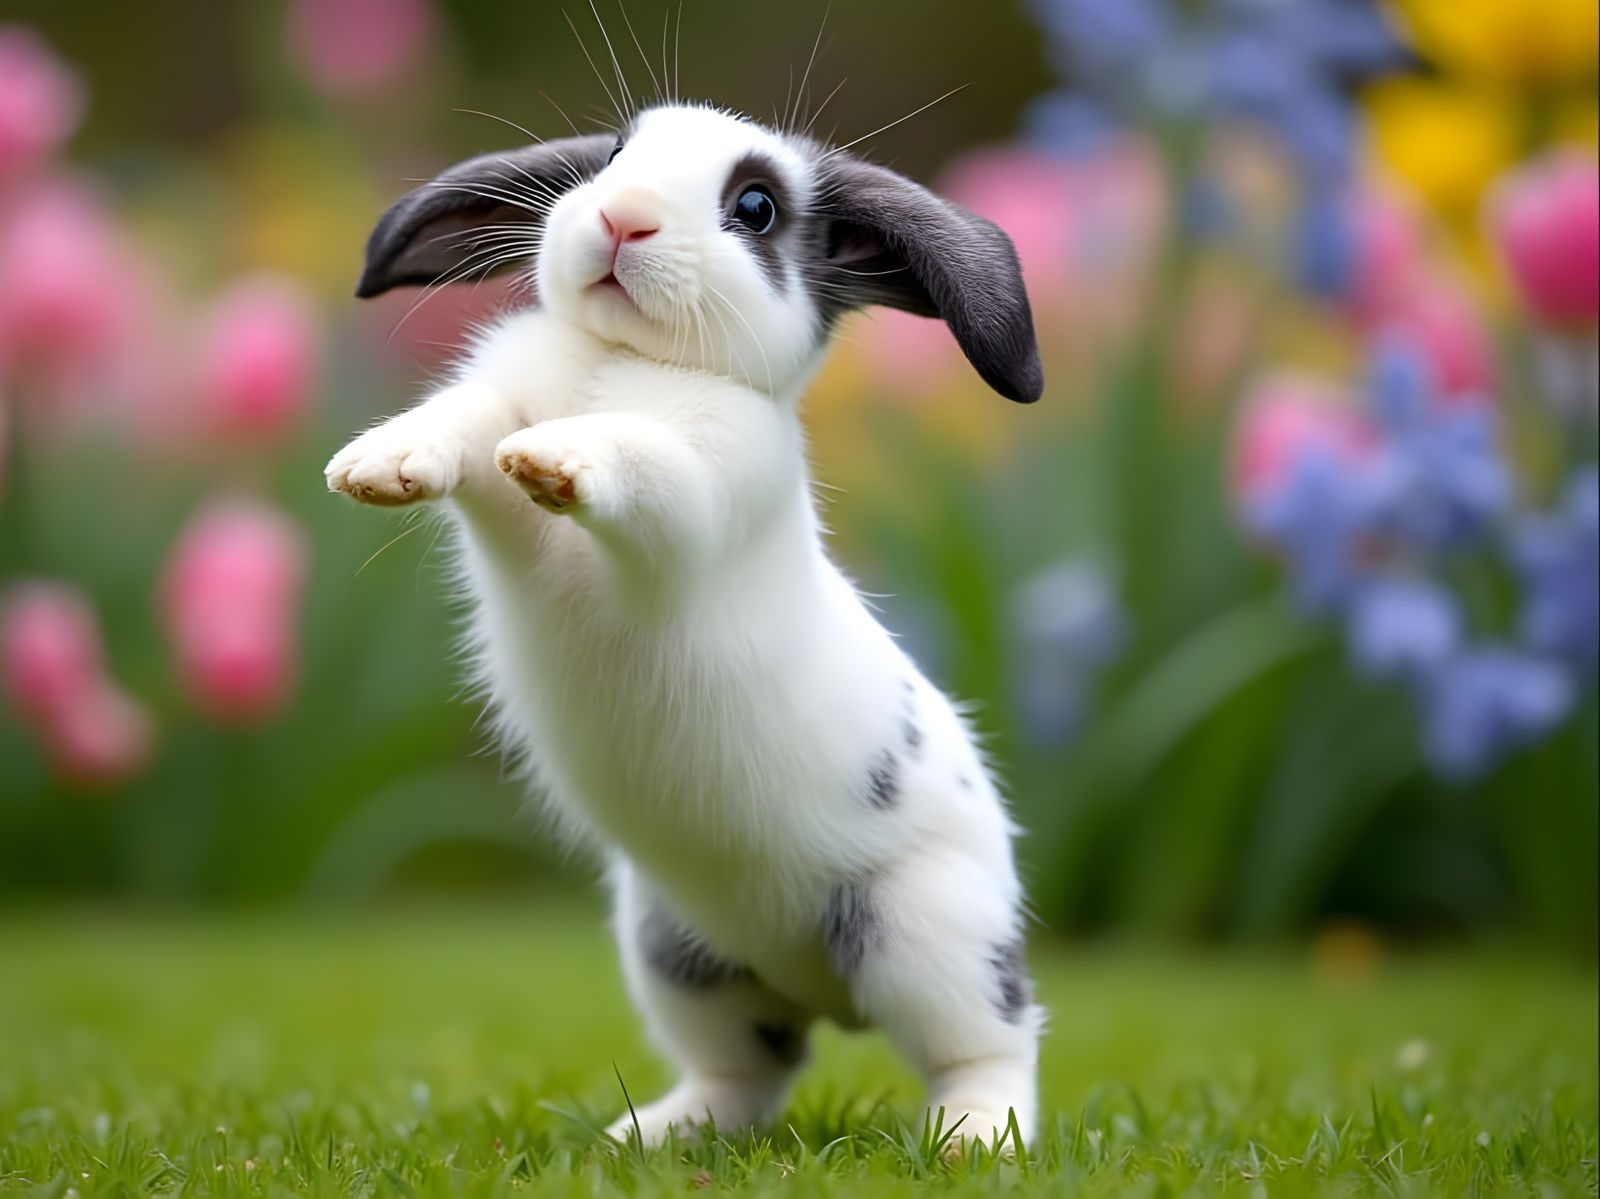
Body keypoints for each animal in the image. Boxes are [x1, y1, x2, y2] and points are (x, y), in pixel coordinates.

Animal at [326, 101, 1045, 1149]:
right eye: (618, 154)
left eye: (755, 206)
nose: (622, 217)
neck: (624, 361)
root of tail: (823, 992)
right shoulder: (496, 423)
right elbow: (466, 419)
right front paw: (380, 464)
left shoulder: (702, 488)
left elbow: (639, 454)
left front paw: (555, 456)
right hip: (676, 952)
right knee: (754, 1068)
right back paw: (656, 1135)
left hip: (924, 930)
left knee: (991, 1044)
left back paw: (974, 1140)